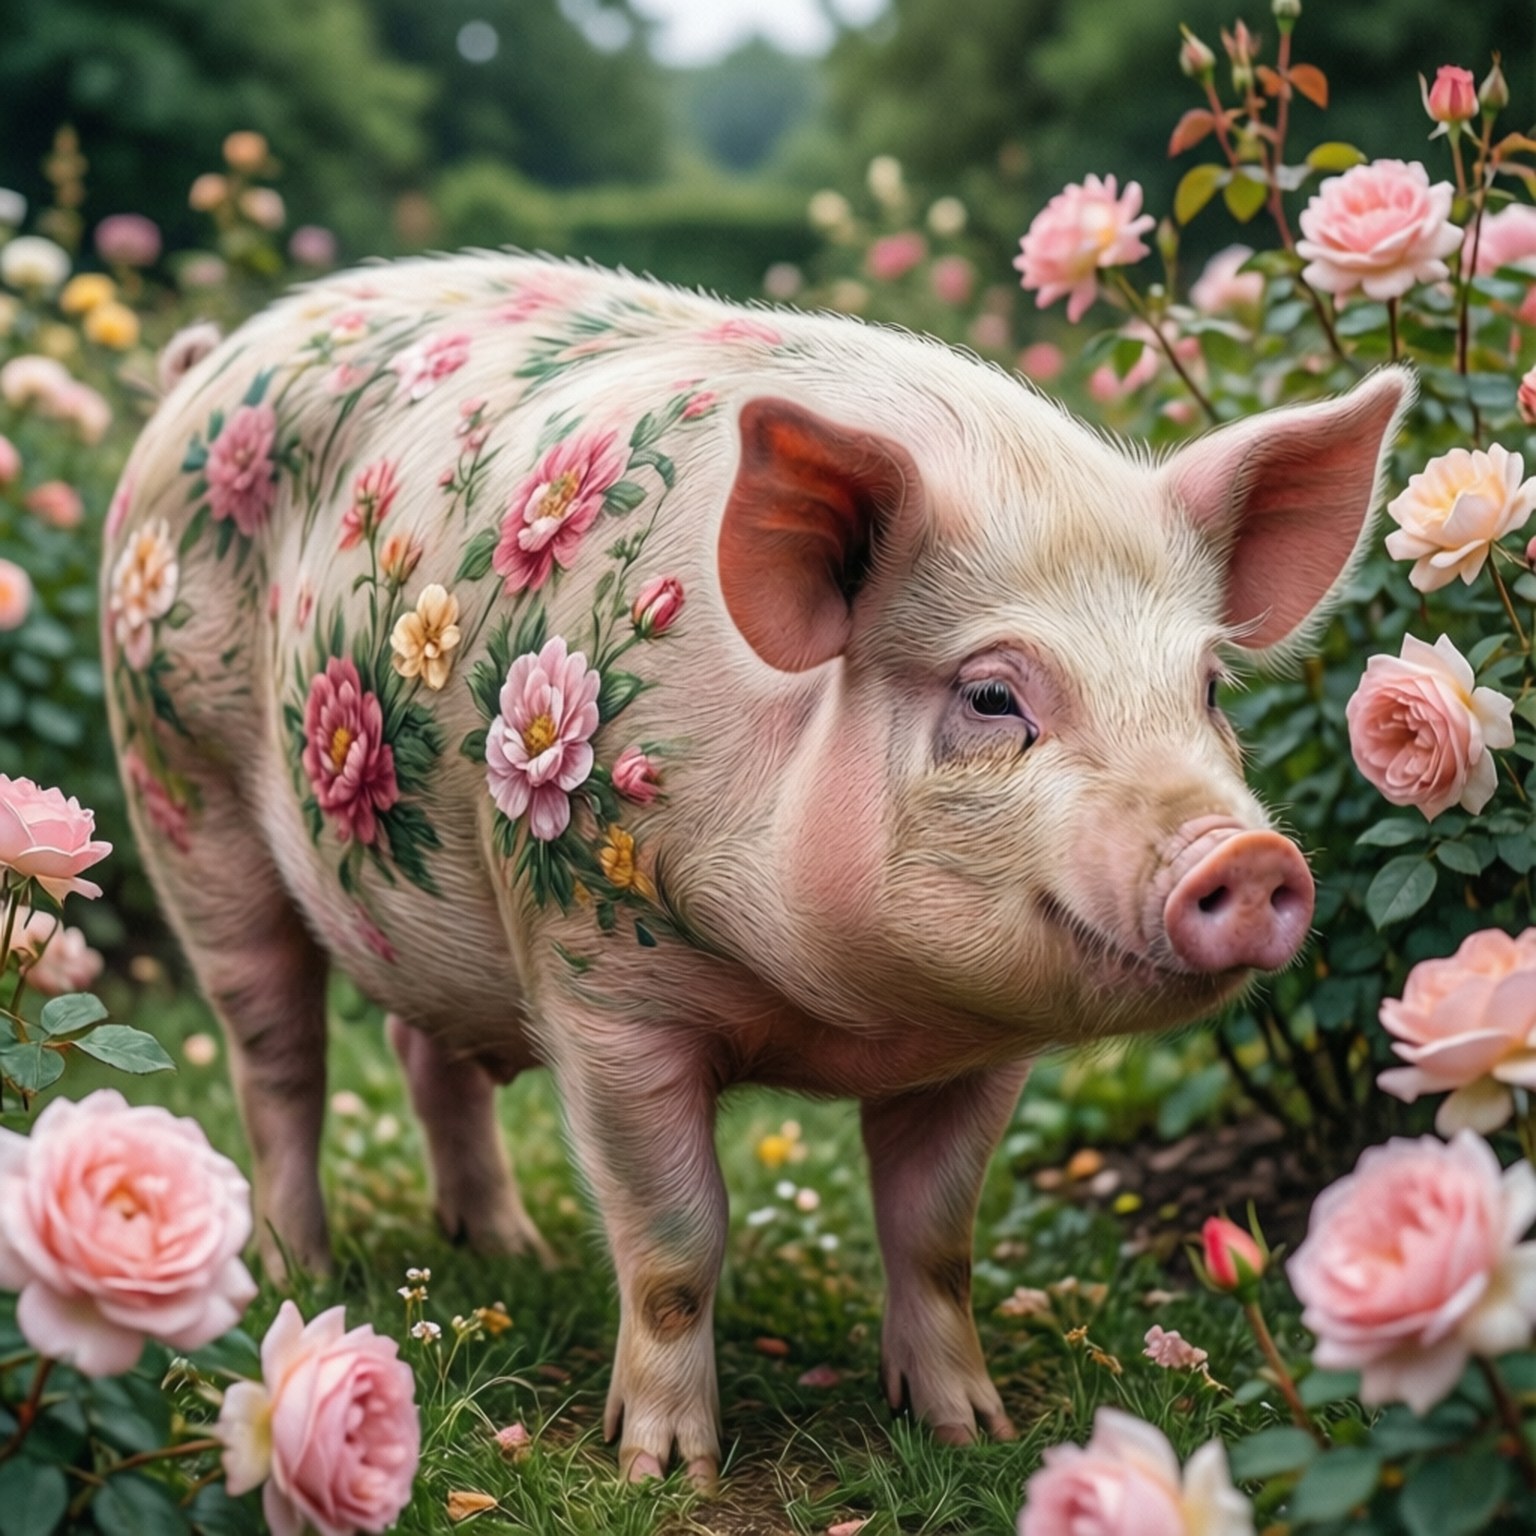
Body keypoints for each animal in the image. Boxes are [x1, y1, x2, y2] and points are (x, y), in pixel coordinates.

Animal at [102, 253, 1412, 1485]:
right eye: (993, 695)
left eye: (1209, 690)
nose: (1248, 854)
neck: (856, 1021)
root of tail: (208, 365)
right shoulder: (596, 976)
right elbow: (677, 1242)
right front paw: (663, 1469)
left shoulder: (985, 1052)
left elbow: (937, 1238)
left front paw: (973, 1435)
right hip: (183, 788)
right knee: (279, 1058)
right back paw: (301, 1270)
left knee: (429, 1054)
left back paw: (510, 1252)